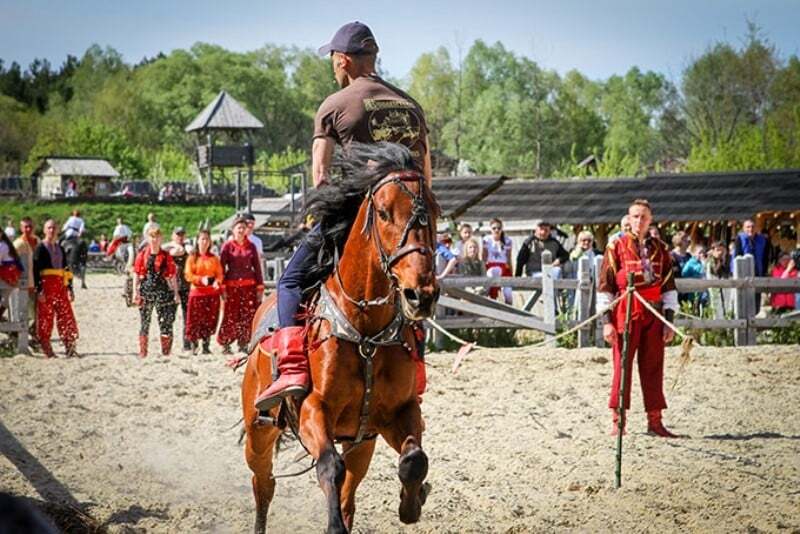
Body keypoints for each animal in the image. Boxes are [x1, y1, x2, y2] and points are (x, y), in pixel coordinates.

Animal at [241, 144, 440, 532]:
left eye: (435, 213)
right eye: (383, 212)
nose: (420, 294)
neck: (366, 334)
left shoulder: (399, 413)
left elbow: (414, 460)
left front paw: (413, 503)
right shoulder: (312, 410)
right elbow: (330, 466)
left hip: (361, 443)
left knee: (348, 492)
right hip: (259, 430)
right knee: (263, 484)